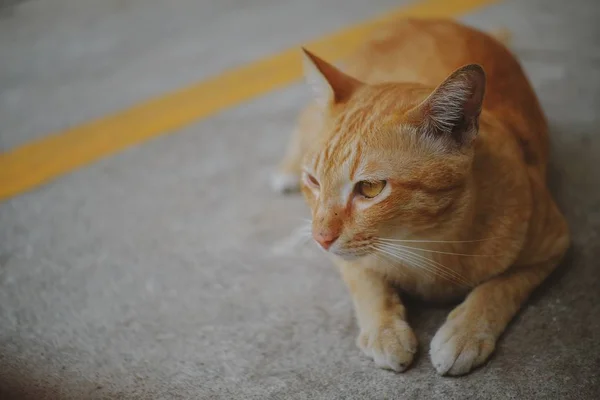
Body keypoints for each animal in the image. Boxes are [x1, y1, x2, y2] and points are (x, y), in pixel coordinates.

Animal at [274, 18, 568, 376]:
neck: (421, 244)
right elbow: (368, 283)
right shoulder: (347, 260)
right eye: (314, 181)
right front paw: (384, 330)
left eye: (370, 188)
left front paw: (466, 331)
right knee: (305, 118)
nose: (320, 238)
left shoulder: (553, 243)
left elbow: (500, 287)